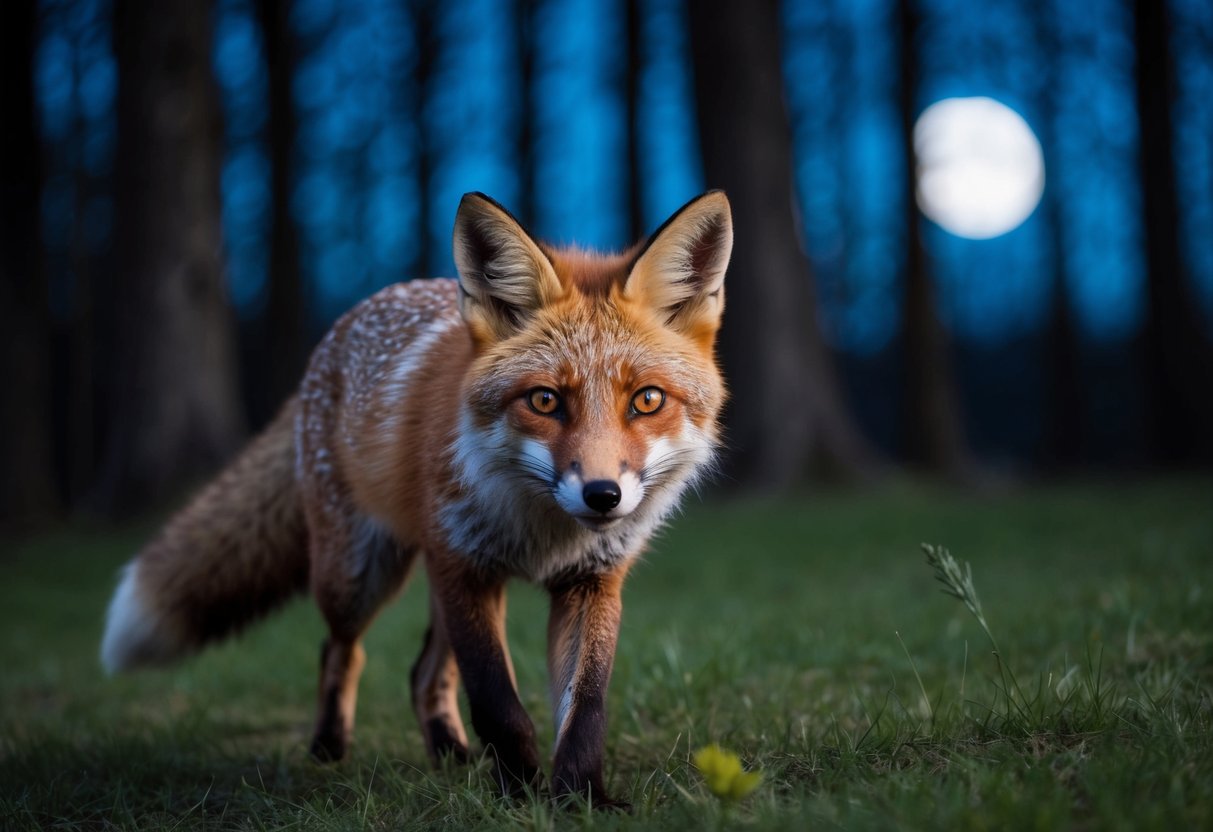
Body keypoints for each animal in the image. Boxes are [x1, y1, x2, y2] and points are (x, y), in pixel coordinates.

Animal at [100, 190, 732, 805]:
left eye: (647, 400)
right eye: (545, 401)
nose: (603, 496)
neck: (544, 532)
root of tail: (334, 337)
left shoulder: (590, 582)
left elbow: (586, 709)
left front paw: (580, 798)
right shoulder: (465, 569)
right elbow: (499, 704)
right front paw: (520, 795)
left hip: (442, 582)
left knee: (424, 674)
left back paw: (449, 753)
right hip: (360, 575)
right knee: (340, 650)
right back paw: (328, 749)